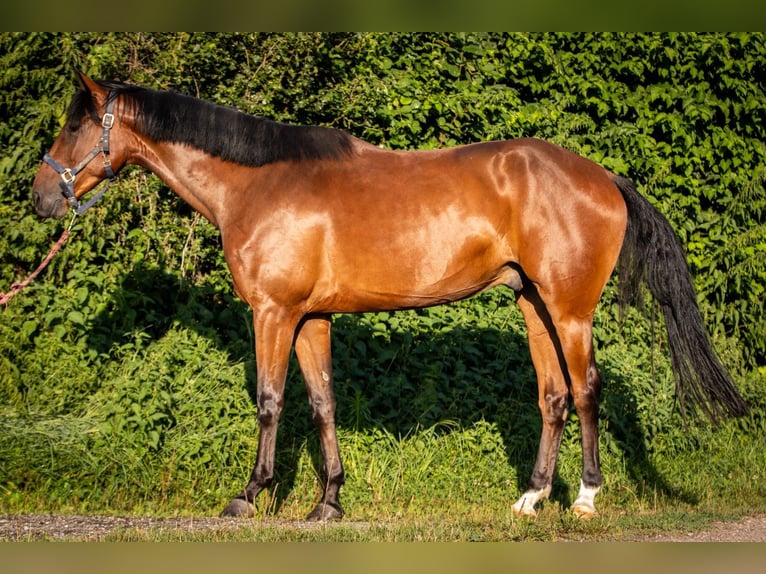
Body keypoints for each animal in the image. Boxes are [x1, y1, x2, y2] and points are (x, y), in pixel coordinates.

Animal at [31, 72, 752, 520]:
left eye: (76, 128)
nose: (40, 198)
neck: (257, 183)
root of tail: (604, 177)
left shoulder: (273, 314)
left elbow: (269, 402)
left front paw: (249, 495)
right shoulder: (312, 318)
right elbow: (321, 404)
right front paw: (328, 503)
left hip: (570, 311)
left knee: (585, 390)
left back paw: (584, 499)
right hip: (534, 306)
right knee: (552, 397)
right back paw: (531, 498)